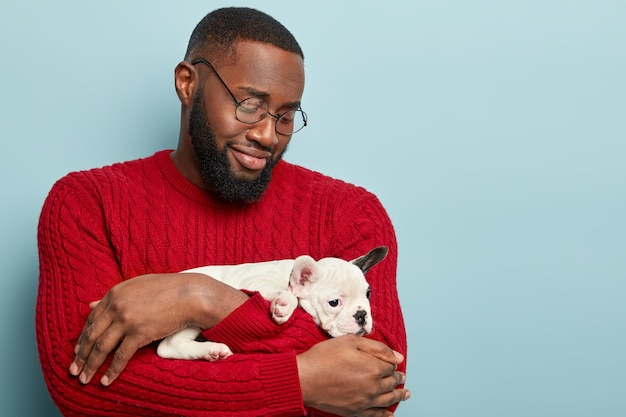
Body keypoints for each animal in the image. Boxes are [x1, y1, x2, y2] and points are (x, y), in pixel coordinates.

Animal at [156, 245, 388, 360]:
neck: (290, 277)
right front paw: (284, 305)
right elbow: (289, 295)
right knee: (167, 347)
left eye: (368, 294)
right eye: (334, 303)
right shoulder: (255, 281)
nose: (361, 315)